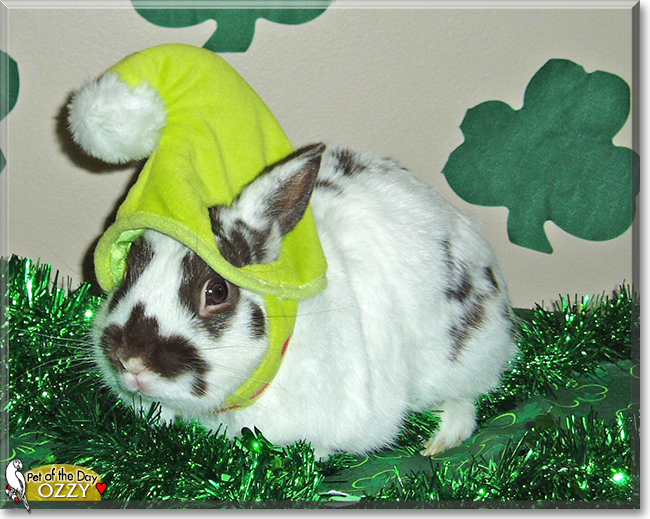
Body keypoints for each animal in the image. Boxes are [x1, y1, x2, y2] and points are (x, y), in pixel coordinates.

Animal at [90, 142, 516, 460]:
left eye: (217, 292)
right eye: (129, 269)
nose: (131, 362)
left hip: (464, 356)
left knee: (469, 397)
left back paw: (441, 438)